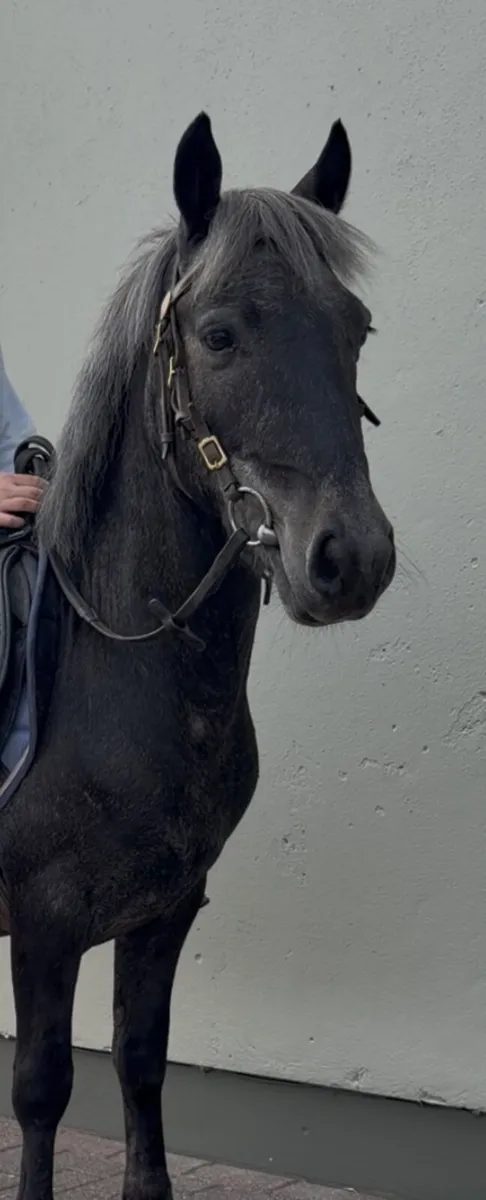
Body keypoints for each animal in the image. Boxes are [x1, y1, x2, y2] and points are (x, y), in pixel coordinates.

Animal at [0, 112, 396, 1200]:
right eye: (219, 334)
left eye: (356, 329)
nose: (349, 558)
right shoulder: (43, 924)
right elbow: (43, 1089)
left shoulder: (168, 911)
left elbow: (141, 1062)